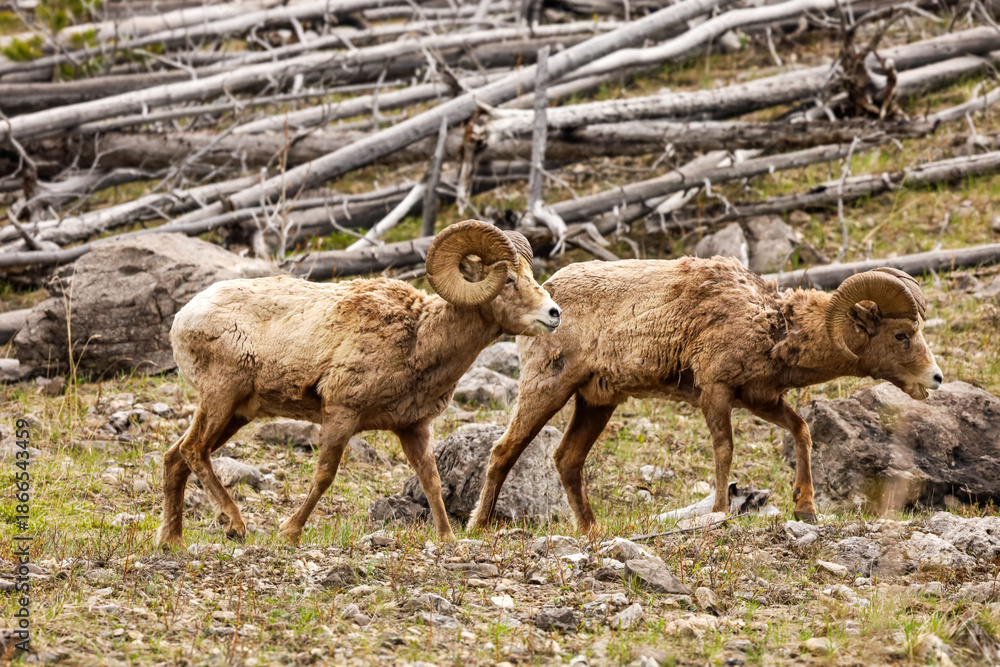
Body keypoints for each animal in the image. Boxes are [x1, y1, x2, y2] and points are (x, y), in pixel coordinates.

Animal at [155, 220, 562, 549]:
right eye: (508, 280)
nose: (554, 314)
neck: (419, 340)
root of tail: (183, 317)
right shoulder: (341, 414)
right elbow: (324, 477)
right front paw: (289, 533)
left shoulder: (414, 427)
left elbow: (431, 480)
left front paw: (447, 537)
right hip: (222, 398)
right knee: (193, 450)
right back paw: (233, 525)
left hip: (236, 413)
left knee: (176, 457)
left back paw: (172, 541)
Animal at [467, 257, 943, 533]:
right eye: (901, 335)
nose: (935, 379)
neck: (769, 324)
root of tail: (548, 297)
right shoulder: (716, 392)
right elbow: (724, 450)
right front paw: (718, 511)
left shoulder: (759, 399)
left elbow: (802, 431)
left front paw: (805, 508)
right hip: (548, 388)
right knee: (504, 451)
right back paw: (479, 526)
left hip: (597, 402)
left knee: (567, 460)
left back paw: (591, 531)